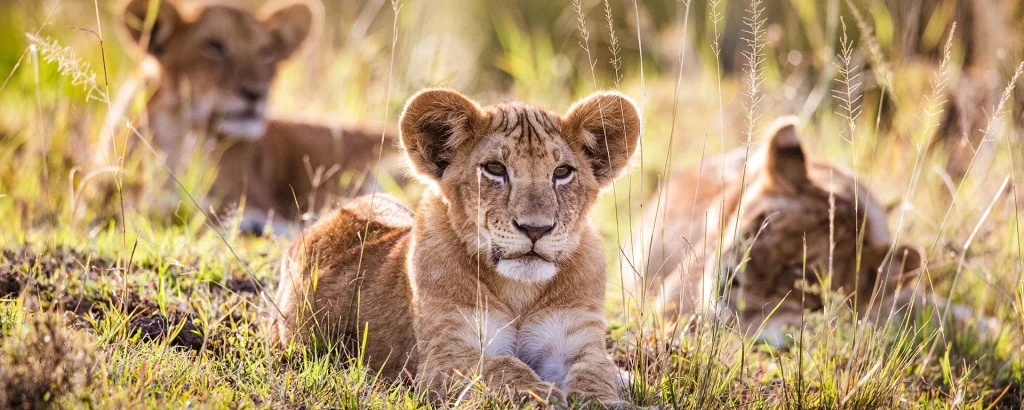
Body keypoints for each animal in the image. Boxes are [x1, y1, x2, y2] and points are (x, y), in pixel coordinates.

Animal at [272, 88, 638, 405]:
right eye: (495, 169)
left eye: (562, 172)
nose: (536, 228)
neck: (520, 291)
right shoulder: (443, 355)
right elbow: (500, 367)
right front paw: (539, 395)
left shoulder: (576, 342)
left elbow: (595, 373)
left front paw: (606, 401)